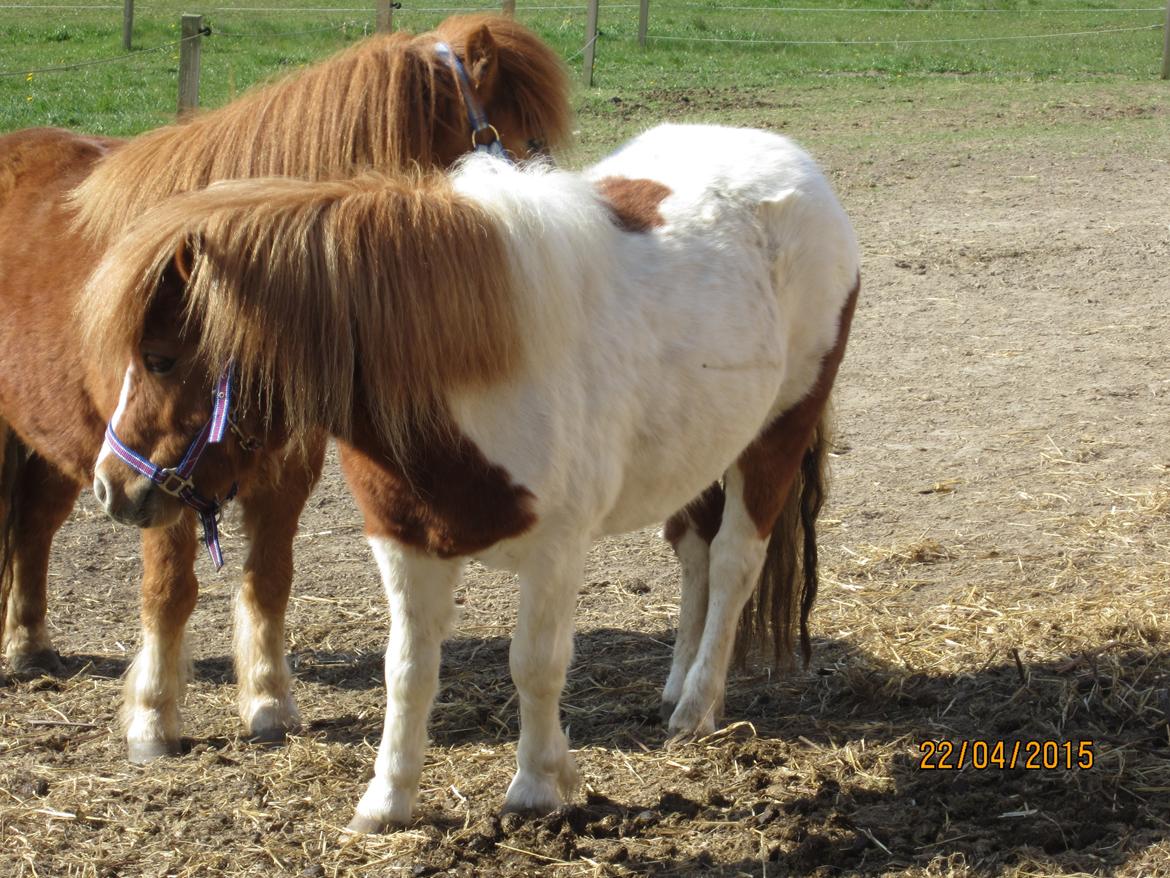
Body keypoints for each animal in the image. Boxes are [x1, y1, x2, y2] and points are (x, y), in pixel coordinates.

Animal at [0, 13, 570, 767]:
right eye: (527, 143)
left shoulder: (281, 466)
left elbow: (269, 578)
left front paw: (269, 703)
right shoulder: (161, 471)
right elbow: (169, 589)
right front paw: (153, 719)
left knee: (33, 527)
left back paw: (30, 644)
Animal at [82, 124, 861, 833]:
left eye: (160, 358)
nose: (113, 488)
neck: (462, 371)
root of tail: (793, 162)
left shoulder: (556, 550)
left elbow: (535, 664)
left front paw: (537, 787)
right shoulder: (405, 543)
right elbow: (407, 671)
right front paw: (387, 801)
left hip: (776, 434)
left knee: (733, 564)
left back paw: (697, 709)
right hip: (701, 450)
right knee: (695, 552)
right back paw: (676, 689)